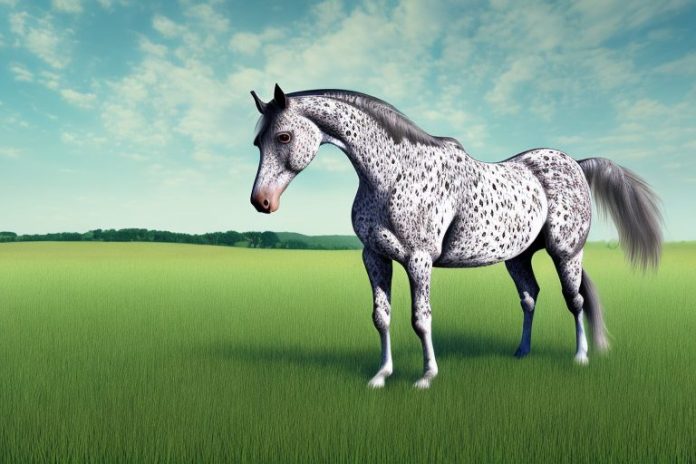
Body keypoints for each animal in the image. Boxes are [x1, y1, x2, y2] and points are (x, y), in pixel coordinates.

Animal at [248, 84, 662, 389]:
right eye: (257, 143)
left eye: (283, 136)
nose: (262, 201)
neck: (394, 174)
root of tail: (575, 163)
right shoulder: (374, 257)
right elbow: (381, 317)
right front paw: (381, 376)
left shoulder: (418, 259)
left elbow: (420, 318)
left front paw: (426, 377)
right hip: (518, 256)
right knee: (530, 298)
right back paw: (522, 352)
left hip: (566, 252)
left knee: (574, 300)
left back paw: (580, 357)